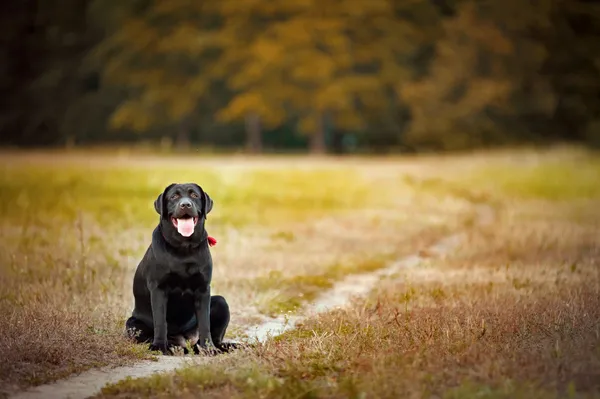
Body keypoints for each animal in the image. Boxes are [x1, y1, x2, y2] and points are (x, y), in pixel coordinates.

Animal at [124, 183, 232, 354]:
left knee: (214, 338)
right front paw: (159, 347)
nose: (185, 205)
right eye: (174, 196)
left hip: (222, 303)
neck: (183, 248)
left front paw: (208, 349)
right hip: (132, 323)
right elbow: (160, 322)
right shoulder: (158, 288)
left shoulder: (203, 289)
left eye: (194, 195)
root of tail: (184, 341)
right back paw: (171, 346)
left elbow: (205, 323)